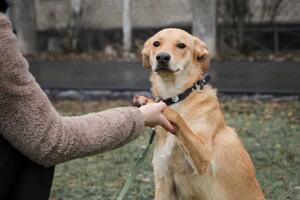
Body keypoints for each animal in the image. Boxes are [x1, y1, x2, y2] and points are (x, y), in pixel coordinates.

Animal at [137, 28, 264, 200]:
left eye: (181, 45)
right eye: (156, 43)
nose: (162, 57)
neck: (177, 96)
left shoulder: (203, 156)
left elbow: (177, 117)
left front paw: (150, 103)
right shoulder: (164, 183)